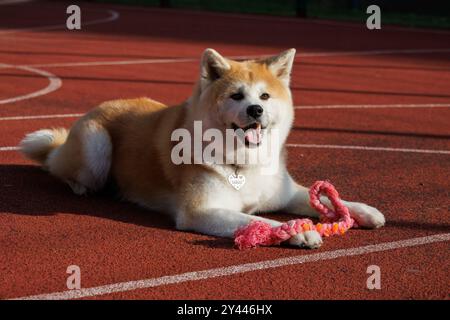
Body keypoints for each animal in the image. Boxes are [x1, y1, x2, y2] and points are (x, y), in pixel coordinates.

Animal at [18, 48, 384, 248]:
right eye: (236, 95)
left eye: (265, 96)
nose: (256, 110)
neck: (242, 163)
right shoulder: (202, 210)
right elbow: (258, 222)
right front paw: (297, 232)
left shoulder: (284, 192)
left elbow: (322, 197)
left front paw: (363, 211)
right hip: (96, 148)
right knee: (58, 165)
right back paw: (82, 186)